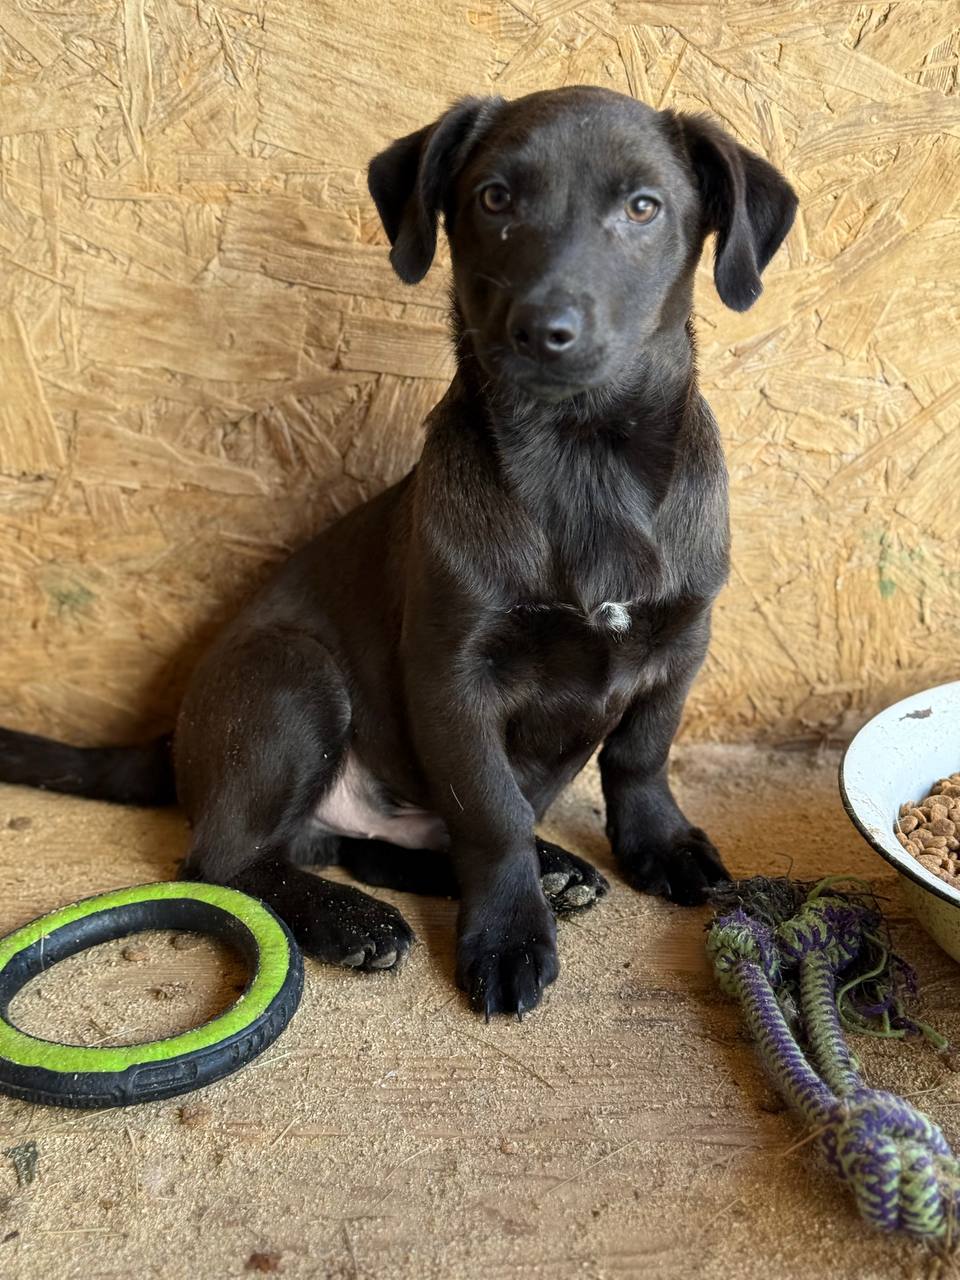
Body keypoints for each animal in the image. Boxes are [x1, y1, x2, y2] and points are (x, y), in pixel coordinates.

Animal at [0, 86, 797, 1018]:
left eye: (644, 207)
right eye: (494, 198)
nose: (543, 328)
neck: (583, 459)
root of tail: (173, 743)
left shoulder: (682, 640)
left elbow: (641, 757)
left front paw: (658, 848)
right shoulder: (454, 674)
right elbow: (491, 815)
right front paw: (508, 934)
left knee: (376, 847)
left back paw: (537, 872)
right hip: (293, 677)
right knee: (227, 860)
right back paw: (353, 919)